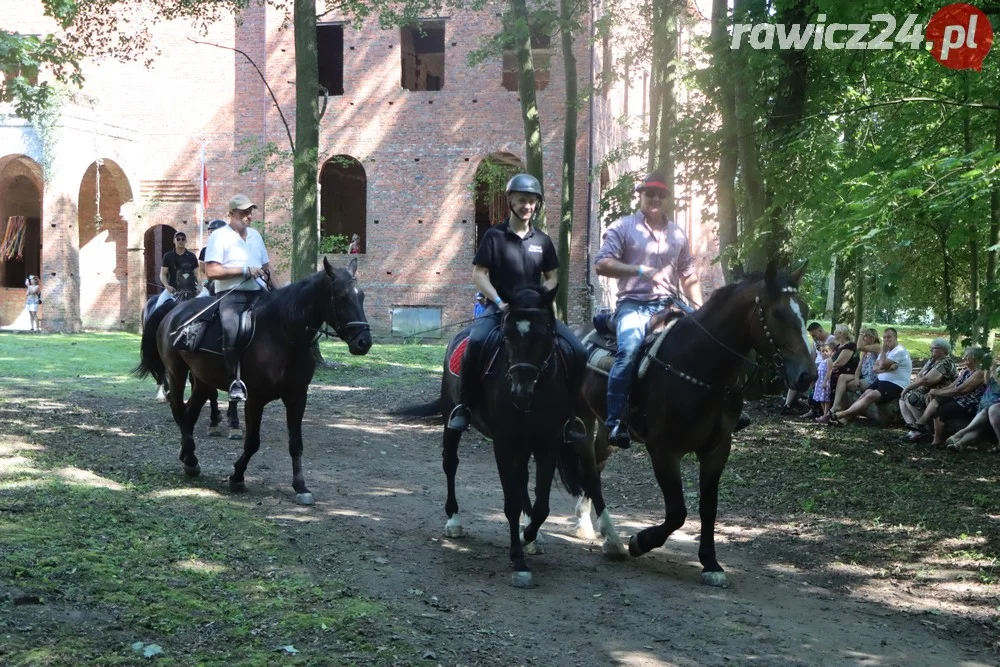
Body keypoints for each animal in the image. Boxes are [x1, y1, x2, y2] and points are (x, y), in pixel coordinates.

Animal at [396, 284, 616, 588]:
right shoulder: (503, 444)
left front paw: (530, 535)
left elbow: (542, 505)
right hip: (452, 419)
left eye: (544, 334)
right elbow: (510, 502)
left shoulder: (546, 444)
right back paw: (454, 521)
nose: (520, 392)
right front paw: (519, 560)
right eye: (507, 335)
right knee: (450, 464)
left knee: (523, 481)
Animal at [576, 264, 816, 588]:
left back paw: (588, 525)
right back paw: (610, 539)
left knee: (595, 466)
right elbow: (677, 511)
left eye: (805, 309)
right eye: (777, 313)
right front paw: (640, 541)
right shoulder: (663, 450)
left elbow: (708, 506)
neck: (699, 365)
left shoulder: (717, 448)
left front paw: (710, 563)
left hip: (604, 425)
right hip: (580, 418)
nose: (808, 375)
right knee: (583, 465)